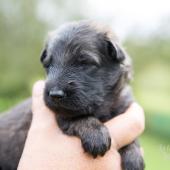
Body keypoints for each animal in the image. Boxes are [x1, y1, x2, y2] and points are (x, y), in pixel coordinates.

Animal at [0, 21, 145, 170]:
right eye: (48, 65)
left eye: (85, 63)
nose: (55, 94)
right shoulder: (63, 114)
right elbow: (78, 117)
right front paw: (95, 133)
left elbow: (132, 137)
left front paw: (134, 156)